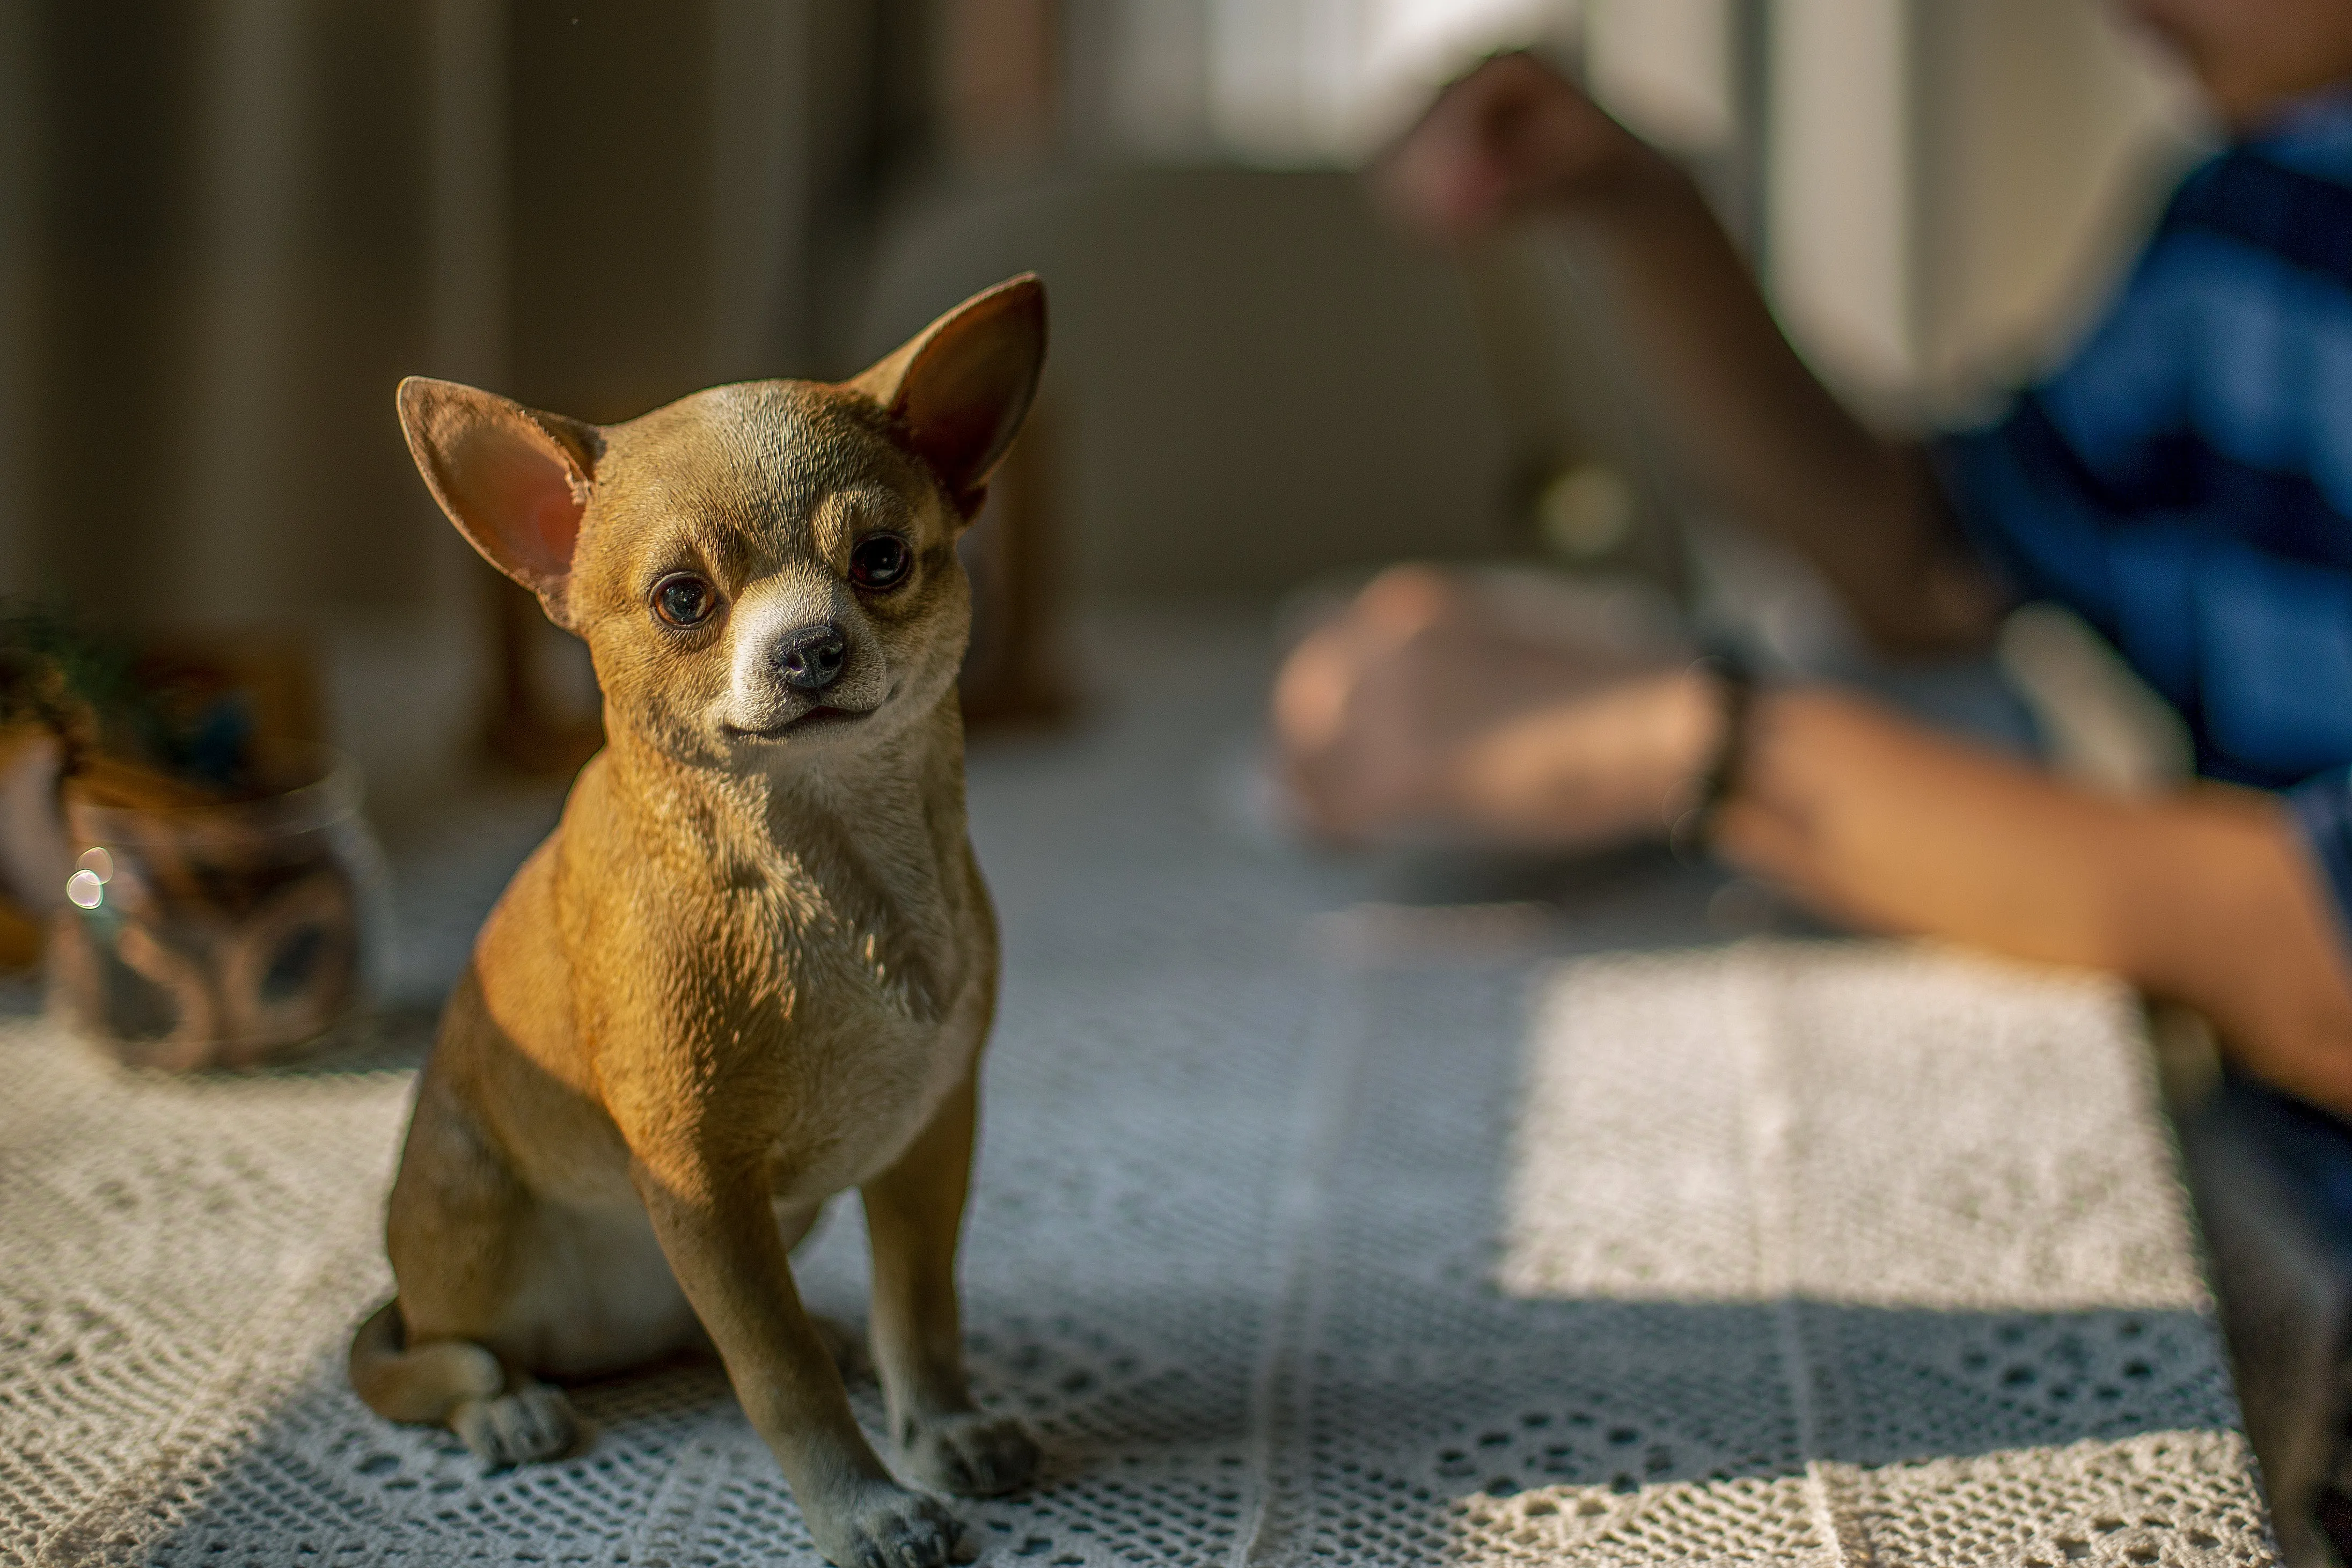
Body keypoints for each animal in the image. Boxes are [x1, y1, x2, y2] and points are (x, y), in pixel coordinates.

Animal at [343, 276, 1044, 1560]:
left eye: (881, 562)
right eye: (682, 601)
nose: (810, 647)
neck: (829, 869)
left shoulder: (927, 1142)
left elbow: (923, 1314)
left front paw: (942, 1427)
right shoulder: (703, 1188)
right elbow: (778, 1378)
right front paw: (866, 1506)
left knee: (724, 1334)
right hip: (476, 1223)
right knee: (418, 1363)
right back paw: (501, 1404)